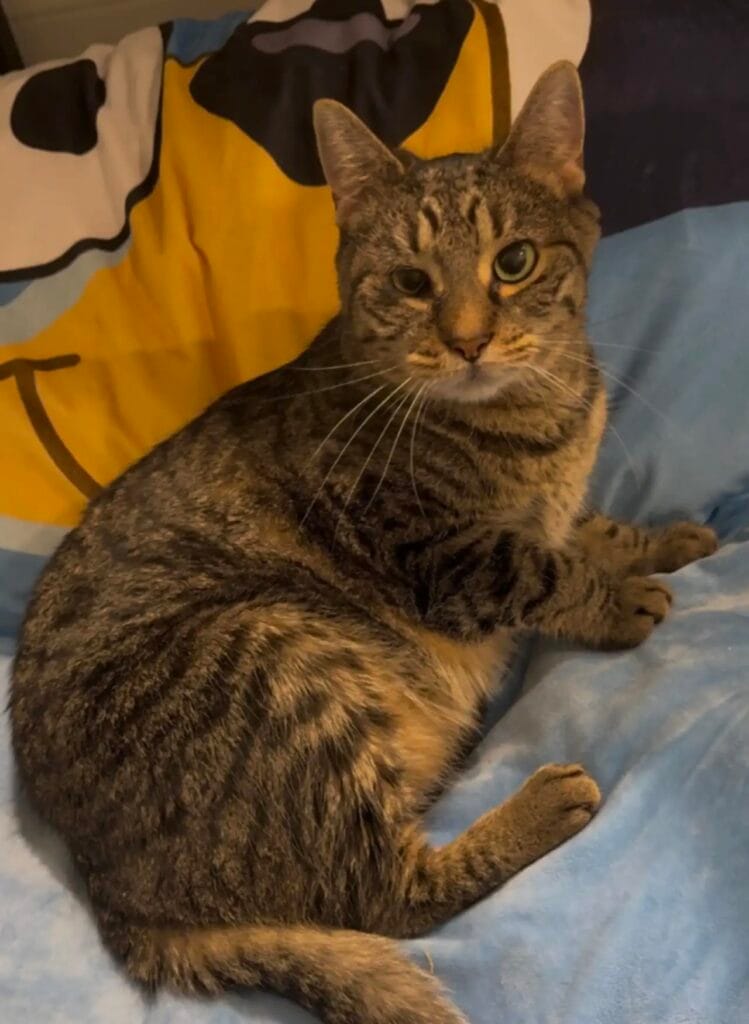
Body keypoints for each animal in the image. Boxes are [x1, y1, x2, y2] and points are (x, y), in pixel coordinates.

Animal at [10, 62, 717, 1024]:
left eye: (514, 263)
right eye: (412, 282)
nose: (467, 339)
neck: (536, 418)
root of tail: (115, 897)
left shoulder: (546, 503)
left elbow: (587, 526)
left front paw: (660, 540)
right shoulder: (438, 552)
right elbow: (542, 566)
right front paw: (615, 597)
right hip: (275, 650)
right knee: (384, 897)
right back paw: (540, 806)